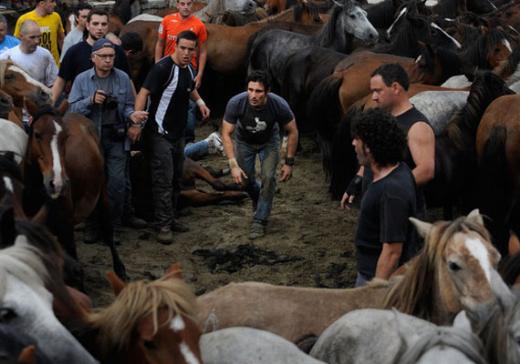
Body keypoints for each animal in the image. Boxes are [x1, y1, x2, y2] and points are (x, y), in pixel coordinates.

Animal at [24, 109, 126, 280]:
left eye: (66, 137)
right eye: (37, 134)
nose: (57, 182)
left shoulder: (65, 226)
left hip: (102, 194)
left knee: (108, 232)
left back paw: (120, 269)